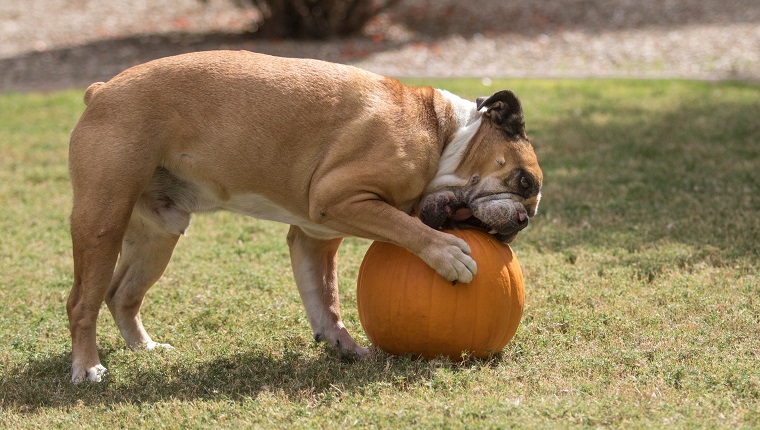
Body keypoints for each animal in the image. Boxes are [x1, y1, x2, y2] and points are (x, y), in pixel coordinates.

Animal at [65, 51, 540, 382]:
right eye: (525, 182)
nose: (523, 220)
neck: (445, 135)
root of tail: (101, 90)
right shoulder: (341, 198)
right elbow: (405, 226)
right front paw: (447, 254)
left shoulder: (316, 235)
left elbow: (324, 297)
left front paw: (342, 344)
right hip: (102, 221)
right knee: (81, 303)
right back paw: (87, 368)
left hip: (158, 235)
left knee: (121, 295)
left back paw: (143, 348)